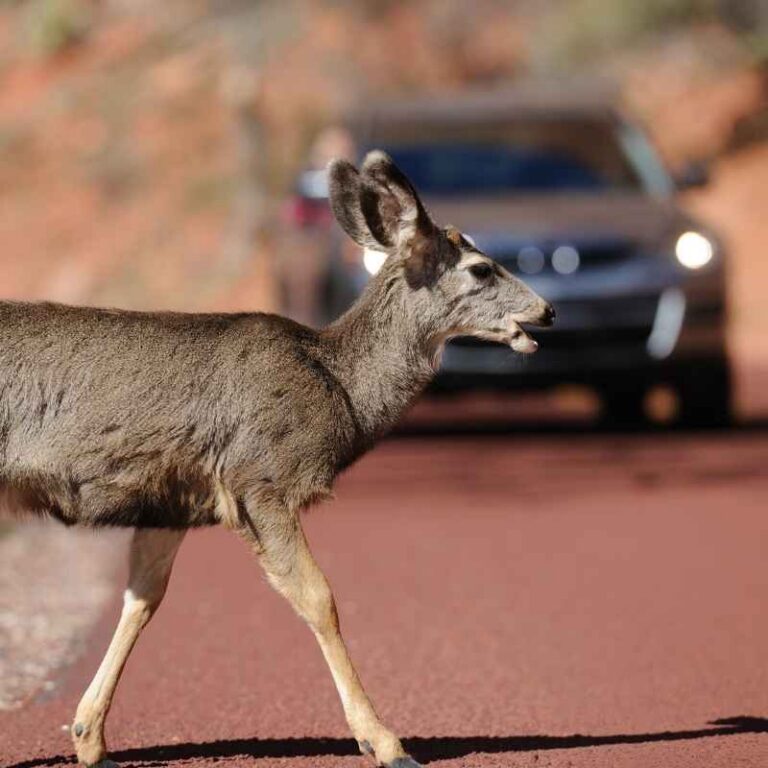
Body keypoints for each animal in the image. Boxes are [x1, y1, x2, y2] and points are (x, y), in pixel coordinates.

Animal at [2, 151, 554, 768]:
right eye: (481, 269)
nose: (547, 311)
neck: (340, 388)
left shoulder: (173, 501)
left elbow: (143, 598)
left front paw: (90, 738)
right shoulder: (259, 478)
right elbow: (319, 598)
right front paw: (384, 740)